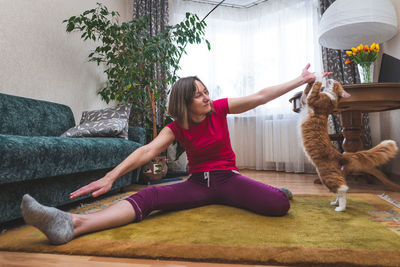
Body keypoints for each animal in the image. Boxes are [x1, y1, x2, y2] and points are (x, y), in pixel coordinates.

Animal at [298, 75, 398, 211]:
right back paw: (335, 203)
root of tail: (340, 155)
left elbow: (315, 87)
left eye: (335, 83)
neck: (330, 97)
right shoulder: (305, 101)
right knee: (340, 190)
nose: (330, 78)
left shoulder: (313, 99)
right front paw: (309, 78)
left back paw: (341, 208)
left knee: (343, 189)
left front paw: (319, 75)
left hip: (327, 175)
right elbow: (306, 92)